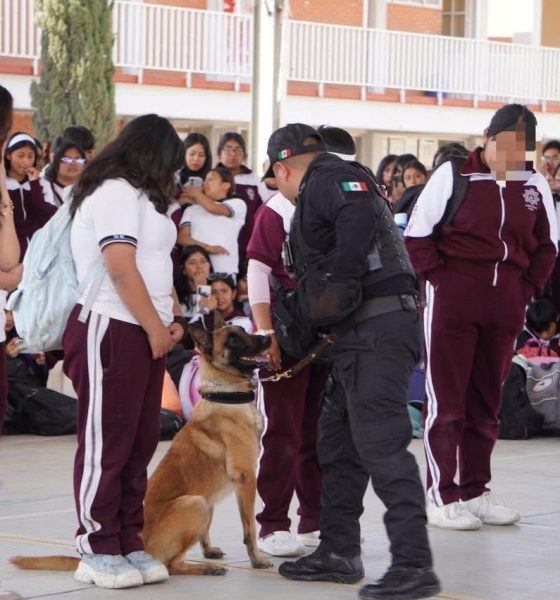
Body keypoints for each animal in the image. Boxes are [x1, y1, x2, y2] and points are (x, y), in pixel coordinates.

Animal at [11, 324, 273, 577]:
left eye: (243, 331)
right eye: (232, 340)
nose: (268, 338)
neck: (225, 394)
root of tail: (129, 550)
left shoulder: (214, 498)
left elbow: (207, 530)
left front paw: (208, 549)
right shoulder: (246, 479)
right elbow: (250, 528)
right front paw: (256, 559)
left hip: (200, 503)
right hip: (194, 503)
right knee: (172, 565)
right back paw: (203, 569)